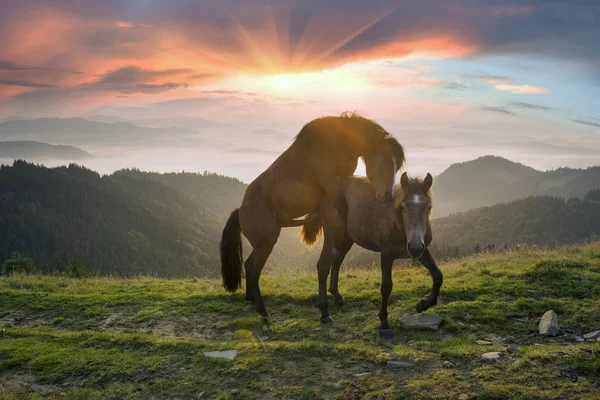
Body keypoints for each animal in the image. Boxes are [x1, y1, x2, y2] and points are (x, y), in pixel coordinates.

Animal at [220, 111, 404, 322]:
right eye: (383, 161)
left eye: (397, 166)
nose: (388, 195)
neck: (340, 141)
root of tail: (240, 210)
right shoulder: (331, 186)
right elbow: (330, 249)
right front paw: (324, 309)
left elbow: (335, 257)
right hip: (266, 243)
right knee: (252, 270)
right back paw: (264, 313)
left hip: (261, 244)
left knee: (248, 264)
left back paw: (251, 299)